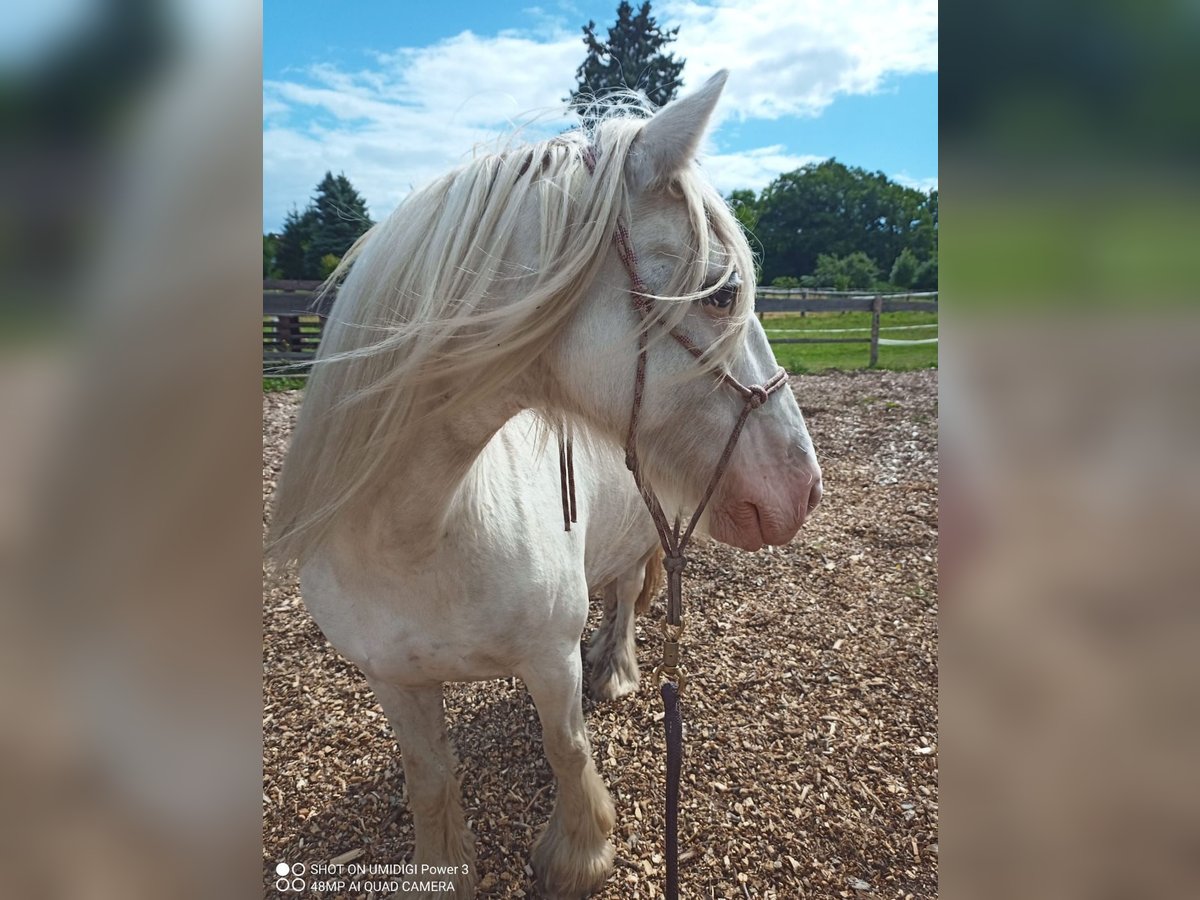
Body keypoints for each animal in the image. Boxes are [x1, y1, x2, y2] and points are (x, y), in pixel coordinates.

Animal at [267, 72, 820, 900]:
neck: (419, 534)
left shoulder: (547, 661)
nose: (804, 487)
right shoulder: (393, 680)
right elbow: (430, 780)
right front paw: (445, 866)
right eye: (722, 292)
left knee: (623, 595)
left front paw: (576, 857)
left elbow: (568, 749)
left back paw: (616, 668)